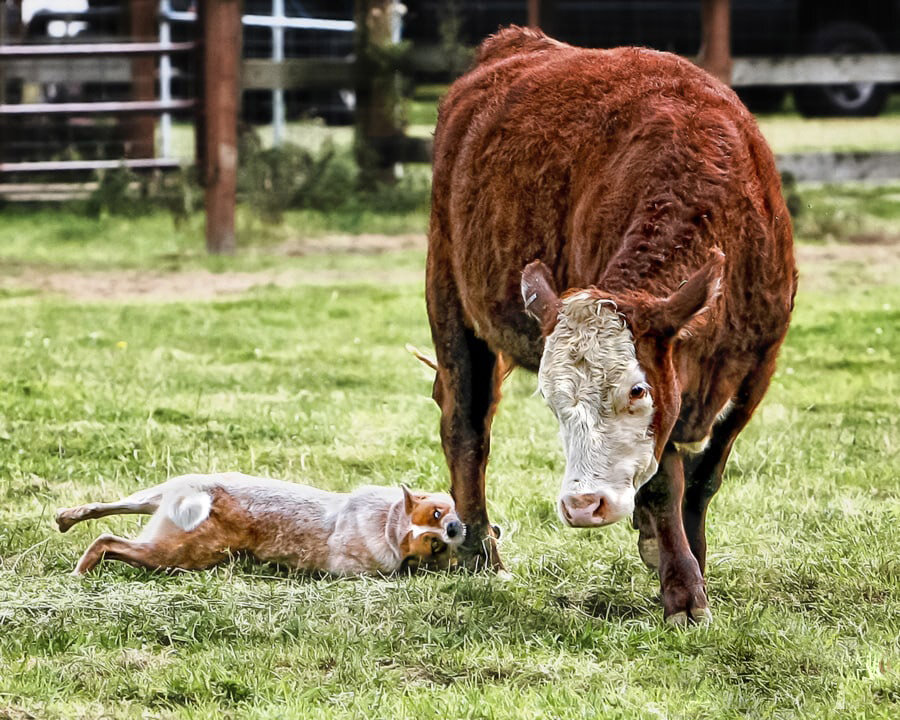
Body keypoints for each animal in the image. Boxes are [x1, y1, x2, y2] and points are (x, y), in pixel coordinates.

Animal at [56, 472, 464, 580]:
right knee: (107, 541)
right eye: (436, 517)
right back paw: (80, 571)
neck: (389, 524)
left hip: (163, 496)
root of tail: (204, 496)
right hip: (174, 556)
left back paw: (68, 517)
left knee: (106, 509)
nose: (454, 530)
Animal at [426, 26, 800, 624]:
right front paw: (683, 588)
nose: (583, 505)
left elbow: (706, 474)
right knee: (466, 424)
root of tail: (517, 43)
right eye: (552, 400)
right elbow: (665, 483)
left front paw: (690, 557)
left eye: (636, 390)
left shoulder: (759, 363)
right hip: (450, 298)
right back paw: (482, 554)